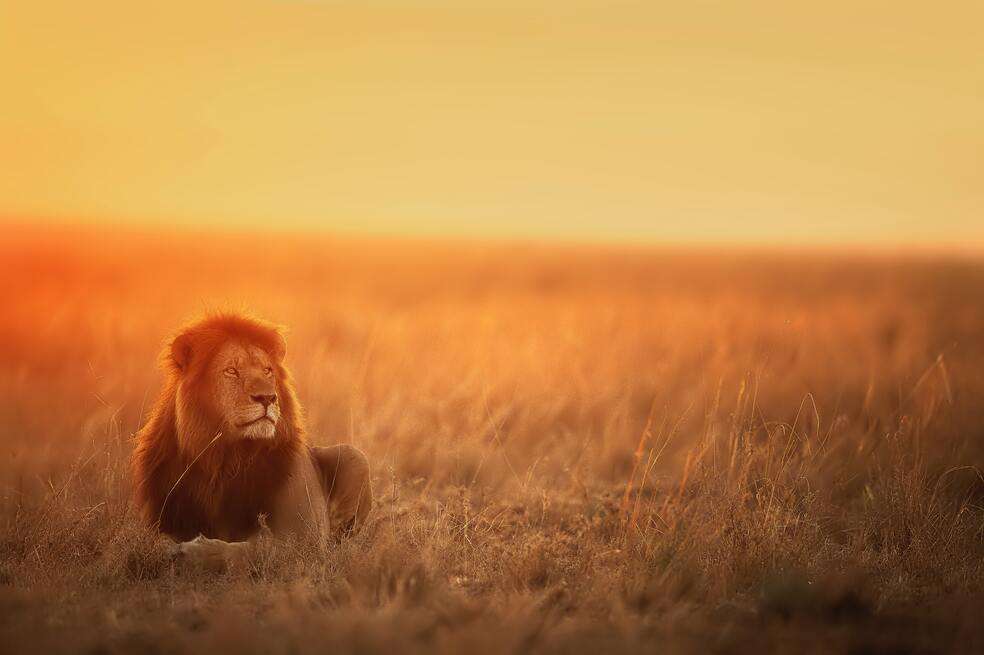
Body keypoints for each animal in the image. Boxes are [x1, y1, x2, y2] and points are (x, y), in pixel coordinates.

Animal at [131, 313, 371, 567]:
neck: (225, 458)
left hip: (355, 456)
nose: (267, 397)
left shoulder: (304, 539)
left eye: (267, 370)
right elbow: (154, 542)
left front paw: (195, 552)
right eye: (231, 371)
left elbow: (255, 549)